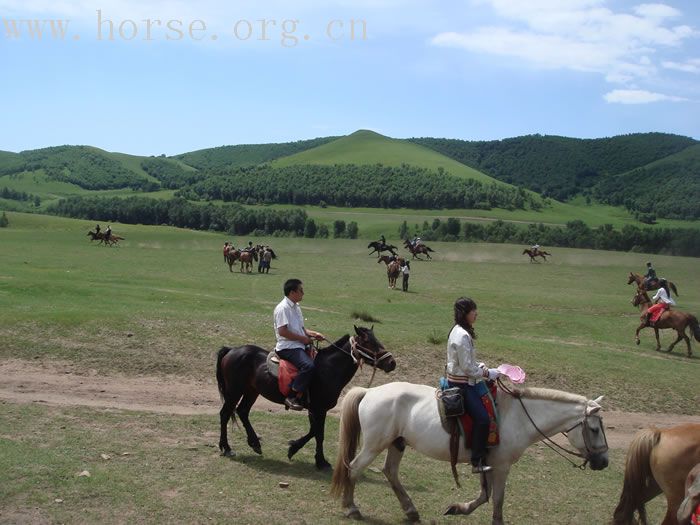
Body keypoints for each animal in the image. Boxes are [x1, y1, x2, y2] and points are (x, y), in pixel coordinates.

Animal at [216, 326, 396, 468]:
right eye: (368, 342)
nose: (392, 363)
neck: (328, 369)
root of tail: (232, 350)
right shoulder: (318, 409)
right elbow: (318, 433)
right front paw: (320, 461)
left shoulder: (315, 410)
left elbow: (314, 431)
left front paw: (294, 448)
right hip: (234, 392)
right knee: (225, 414)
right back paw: (226, 447)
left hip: (251, 391)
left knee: (242, 412)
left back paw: (254, 443)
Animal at [330, 380, 608, 524]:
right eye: (594, 429)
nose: (604, 462)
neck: (518, 417)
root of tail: (370, 391)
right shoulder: (501, 465)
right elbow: (497, 499)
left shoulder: (485, 462)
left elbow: (484, 496)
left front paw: (458, 508)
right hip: (374, 445)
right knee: (354, 468)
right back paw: (351, 508)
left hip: (397, 444)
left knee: (390, 472)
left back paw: (410, 510)